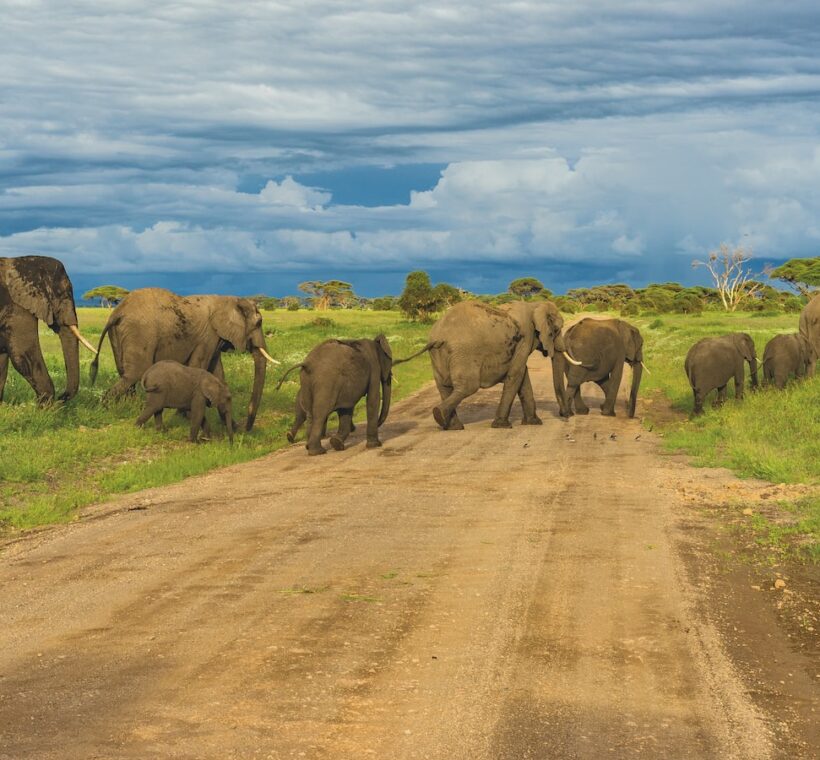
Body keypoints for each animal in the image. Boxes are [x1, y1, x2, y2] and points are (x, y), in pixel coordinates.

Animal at [88, 286, 278, 430]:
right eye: (259, 323)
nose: (247, 428)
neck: (229, 299)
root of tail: (117, 312)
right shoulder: (207, 336)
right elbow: (200, 366)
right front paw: (187, 416)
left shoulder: (215, 337)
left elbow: (217, 373)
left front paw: (231, 425)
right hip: (139, 332)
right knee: (135, 373)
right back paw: (104, 410)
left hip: (120, 333)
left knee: (125, 374)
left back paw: (129, 408)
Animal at [426, 298, 580, 430]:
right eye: (556, 330)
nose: (567, 415)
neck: (534, 305)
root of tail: (439, 335)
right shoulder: (526, 337)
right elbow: (516, 374)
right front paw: (502, 425)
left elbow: (522, 375)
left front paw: (533, 423)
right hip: (464, 352)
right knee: (468, 386)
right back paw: (440, 415)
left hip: (439, 354)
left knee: (444, 386)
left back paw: (452, 426)